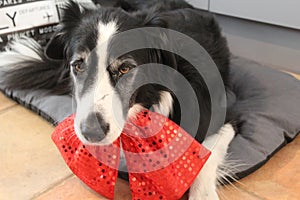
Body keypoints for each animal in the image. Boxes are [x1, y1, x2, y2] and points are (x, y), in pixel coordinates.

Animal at [0, 0, 236, 199]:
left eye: (125, 69)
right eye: (78, 65)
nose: (91, 133)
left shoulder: (228, 115)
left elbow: (206, 157)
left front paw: (204, 195)